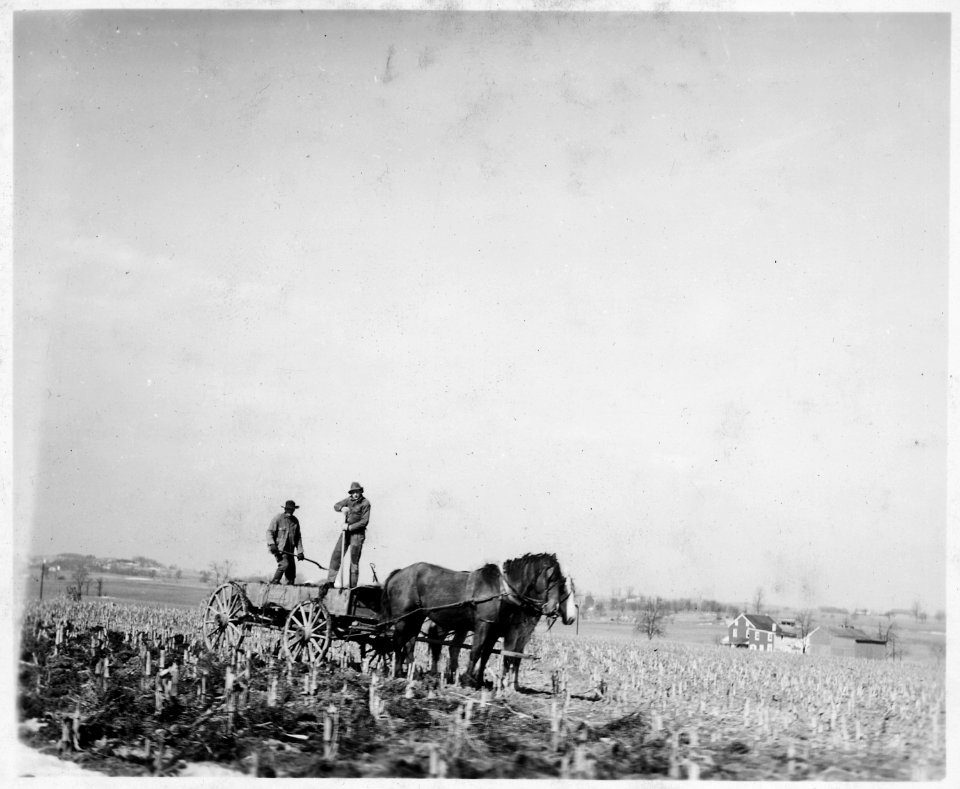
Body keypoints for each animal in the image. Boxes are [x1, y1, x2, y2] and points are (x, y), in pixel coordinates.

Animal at [380, 552, 576, 688]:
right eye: (552, 579)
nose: (552, 609)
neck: (501, 590)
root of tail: (399, 573)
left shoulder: (495, 629)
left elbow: (487, 654)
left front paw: (479, 680)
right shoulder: (484, 624)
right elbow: (476, 651)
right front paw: (468, 680)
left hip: (416, 617)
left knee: (410, 642)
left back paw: (413, 673)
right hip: (403, 619)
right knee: (398, 641)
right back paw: (398, 673)